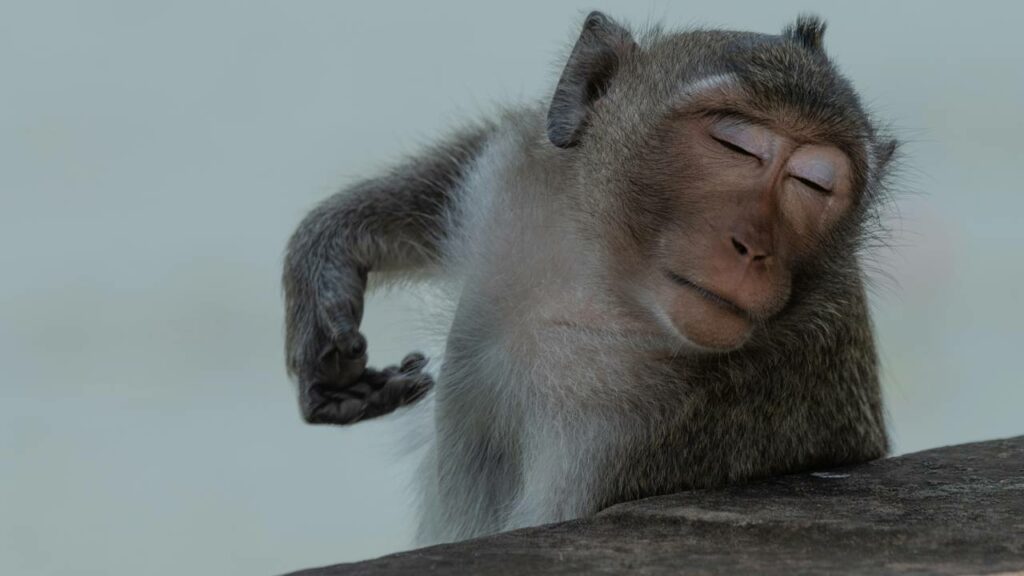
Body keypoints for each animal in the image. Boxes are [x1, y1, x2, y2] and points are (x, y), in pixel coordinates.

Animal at [283, 12, 899, 545]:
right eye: (734, 144)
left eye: (814, 184)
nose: (752, 247)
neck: (603, 287)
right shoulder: (517, 180)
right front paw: (326, 257)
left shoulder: (635, 434)